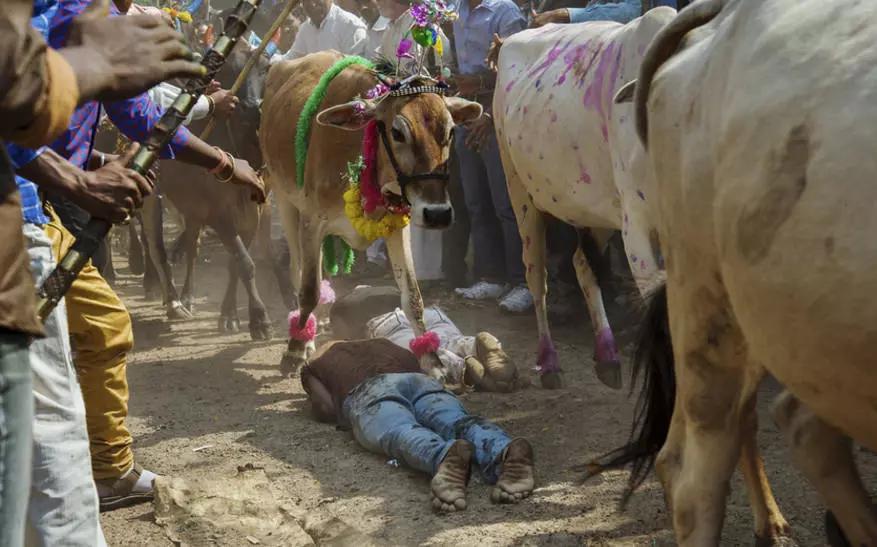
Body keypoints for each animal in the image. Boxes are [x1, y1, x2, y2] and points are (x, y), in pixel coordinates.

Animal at [262, 51, 480, 376]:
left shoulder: (398, 227)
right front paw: (295, 350)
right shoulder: (312, 222)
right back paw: (305, 333)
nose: (437, 214)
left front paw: (432, 360)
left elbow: (413, 296)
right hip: (284, 198)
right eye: (397, 132)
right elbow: (308, 289)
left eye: (450, 131)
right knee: (296, 269)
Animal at [492, 8, 672, 390]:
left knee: (581, 264)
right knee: (536, 275)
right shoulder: (637, 229)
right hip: (519, 192)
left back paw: (607, 355)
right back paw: (549, 363)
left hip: (596, 211)